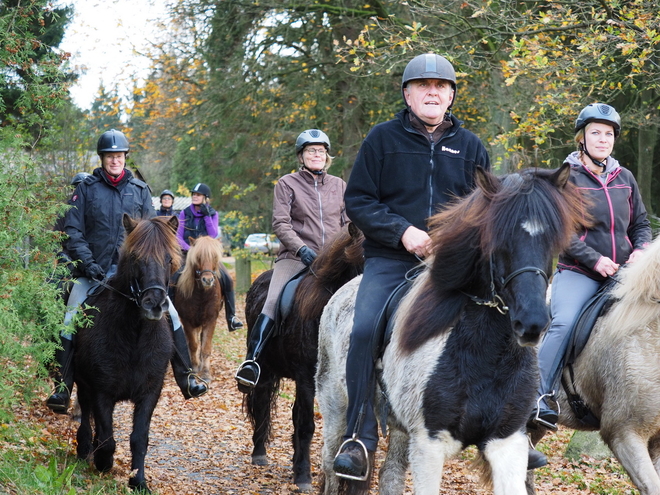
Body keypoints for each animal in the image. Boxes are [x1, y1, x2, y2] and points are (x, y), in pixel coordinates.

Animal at [74, 215, 182, 494]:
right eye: (136, 258)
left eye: (169, 259)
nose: (155, 304)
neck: (135, 337)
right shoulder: (101, 391)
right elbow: (108, 437)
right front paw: (103, 462)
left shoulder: (149, 393)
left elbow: (139, 439)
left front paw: (139, 480)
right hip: (83, 385)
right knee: (86, 414)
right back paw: (85, 449)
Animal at [171, 236, 226, 384]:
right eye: (198, 257)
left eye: (215, 257)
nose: (207, 280)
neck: (202, 294)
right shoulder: (187, 320)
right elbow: (193, 345)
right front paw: (195, 368)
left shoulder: (211, 320)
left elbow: (205, 347)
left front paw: (205, 373)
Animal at [244, 224, 364, 492]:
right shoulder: (306, 378)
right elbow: (307, 425)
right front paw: (303, 476)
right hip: (265, 369)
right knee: (262, 402)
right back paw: (259, 454)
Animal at [318, 167, 584, 495]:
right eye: (497, 239)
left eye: (552, 242)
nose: (532, 323)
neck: (484, 358)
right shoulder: (429, 445)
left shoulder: (507, 443)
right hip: (335, 408)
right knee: (331, 466)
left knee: (390, 475)